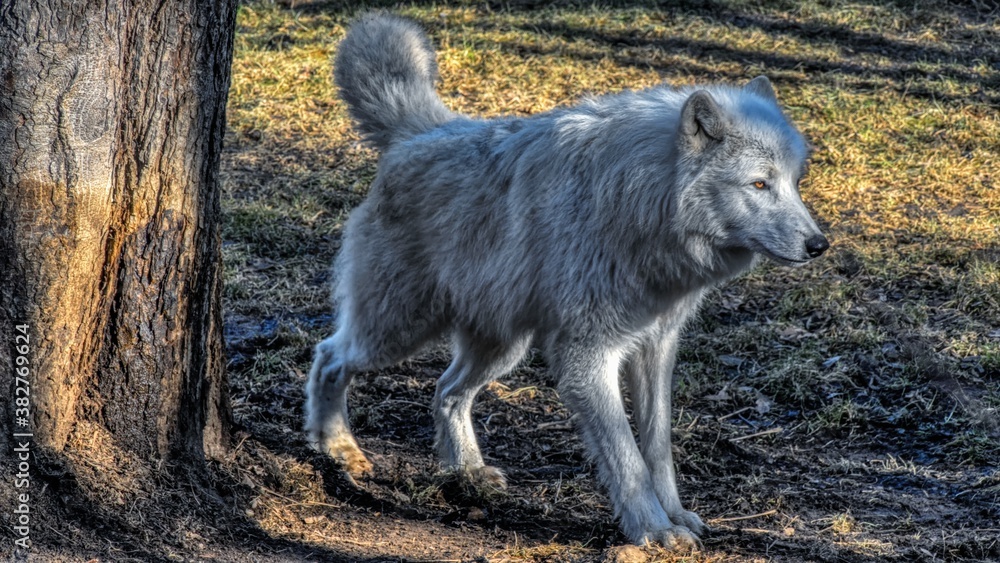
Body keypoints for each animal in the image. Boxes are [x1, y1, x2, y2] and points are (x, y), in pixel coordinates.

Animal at [305, 13, 829, 549]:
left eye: (794, 183)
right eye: (759, 184)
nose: (818, 245)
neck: (641, 203)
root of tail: (423, 132)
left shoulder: (656, 346)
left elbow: (657, 447)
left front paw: (677, 516)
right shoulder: (588, 353)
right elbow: (626, 456)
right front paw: (653, 530)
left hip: (502, 347)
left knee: (446, 392)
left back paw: (467, 474)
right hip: (400, 330)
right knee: (330, 356)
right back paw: (339, 450)